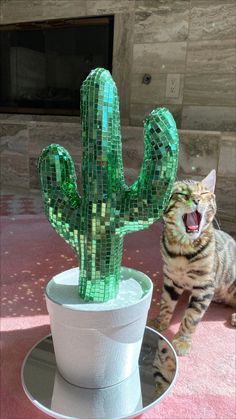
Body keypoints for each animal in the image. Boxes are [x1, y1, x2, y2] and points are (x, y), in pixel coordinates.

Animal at [151, 171, 236, 358]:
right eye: (182, 194)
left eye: (204, 193)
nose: (197, 200)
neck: (183, 249)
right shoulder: (171, 279)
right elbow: (166, 303)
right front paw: (160, 322)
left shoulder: (204, 286)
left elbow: (191, 317)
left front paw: (182, 341)